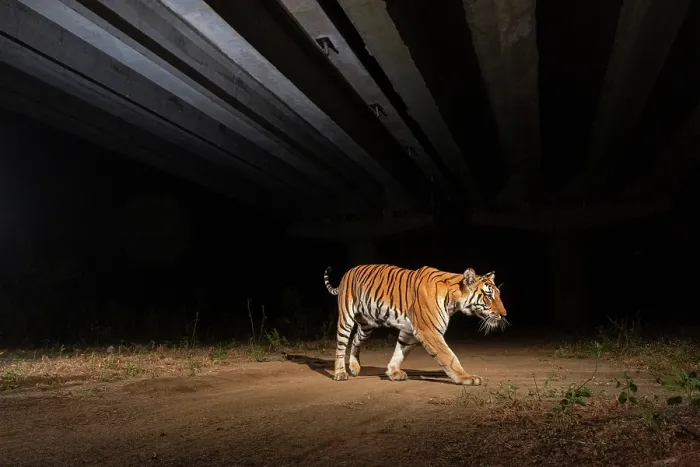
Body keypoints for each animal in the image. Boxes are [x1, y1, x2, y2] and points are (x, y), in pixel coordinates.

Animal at [323, 264, 508, 385]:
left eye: (498, 294)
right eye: (489, 296)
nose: (504, 314)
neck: (454, 299)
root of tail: (348, 271)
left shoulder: (410, 332)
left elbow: (399, 352)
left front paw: (392, 372)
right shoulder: (429, 331)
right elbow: (449, 357)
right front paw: (466, 377)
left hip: (366, 325)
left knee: (355, 340)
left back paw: (354, 367)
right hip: (346, 318)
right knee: (341, 346)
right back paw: (340, 373)